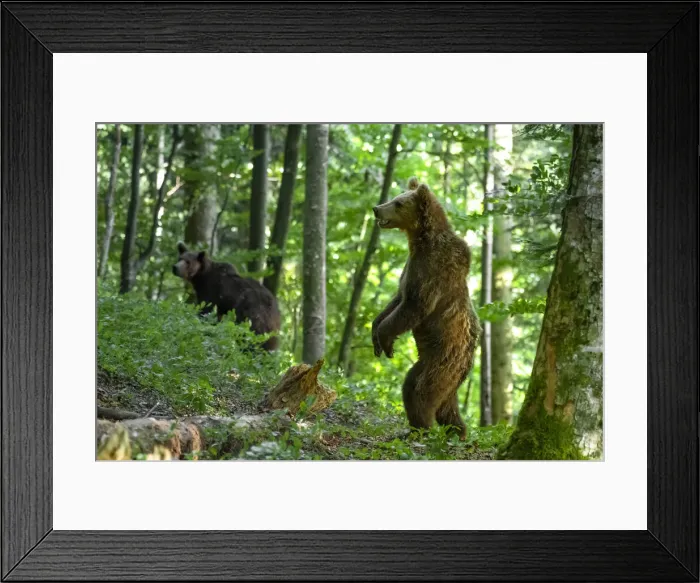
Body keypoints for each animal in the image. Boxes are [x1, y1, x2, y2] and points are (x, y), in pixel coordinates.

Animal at [371, 177, 481, 439]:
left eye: (399, 203)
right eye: (395, 198)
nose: (377, 208)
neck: (420, 241)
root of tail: (467, 364)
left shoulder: (432, 270)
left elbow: (415, 306)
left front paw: (385, 340)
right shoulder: (409, 268)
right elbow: (397, 300)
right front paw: (375, 334)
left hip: (443, 358)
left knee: (418, 389)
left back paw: (420, 429)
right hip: (443, 369)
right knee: (445, 405)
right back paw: (457, 432)